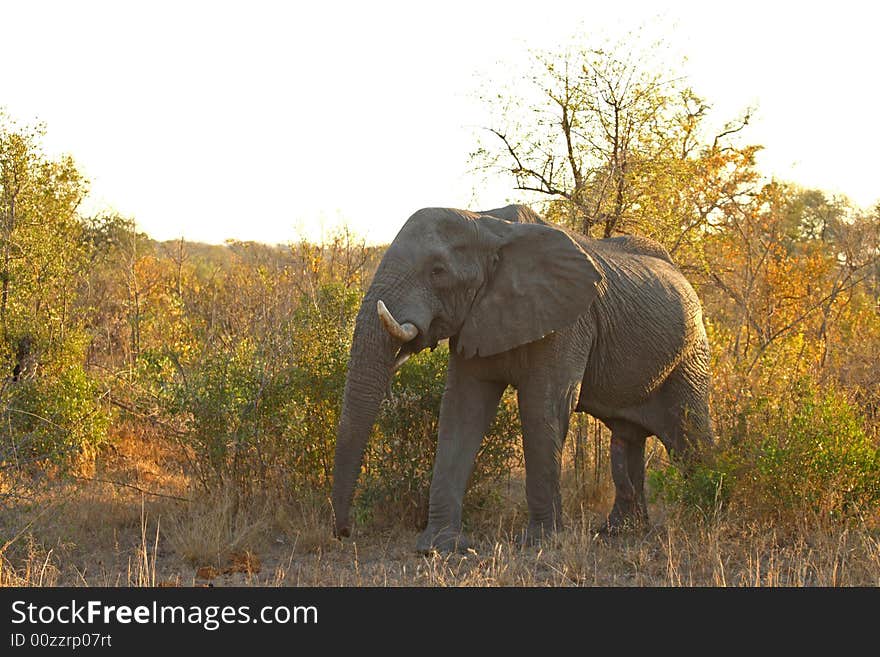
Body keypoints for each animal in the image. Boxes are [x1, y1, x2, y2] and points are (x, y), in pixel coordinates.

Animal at [332, 202, 716, 552]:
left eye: (438, 271)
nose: (345, 532)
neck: (488, 226)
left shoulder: (569, 320)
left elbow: (543, 406)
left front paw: (540, 543)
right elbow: (462, 410)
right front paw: (439, 547)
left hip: (690, 354)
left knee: (690, 435)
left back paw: (708, 518)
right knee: (626, 441)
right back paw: (617, 532)